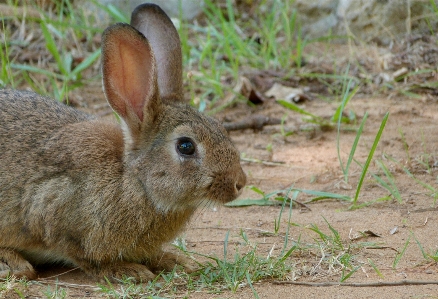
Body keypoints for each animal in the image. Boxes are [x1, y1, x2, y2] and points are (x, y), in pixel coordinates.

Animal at [0, 3, 246, 282]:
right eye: (186, 146)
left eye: (219, 126)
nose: (239, 183)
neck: (135, 180)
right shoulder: (51, 209)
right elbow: (85, 257)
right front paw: (128, 270)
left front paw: (176, 261)